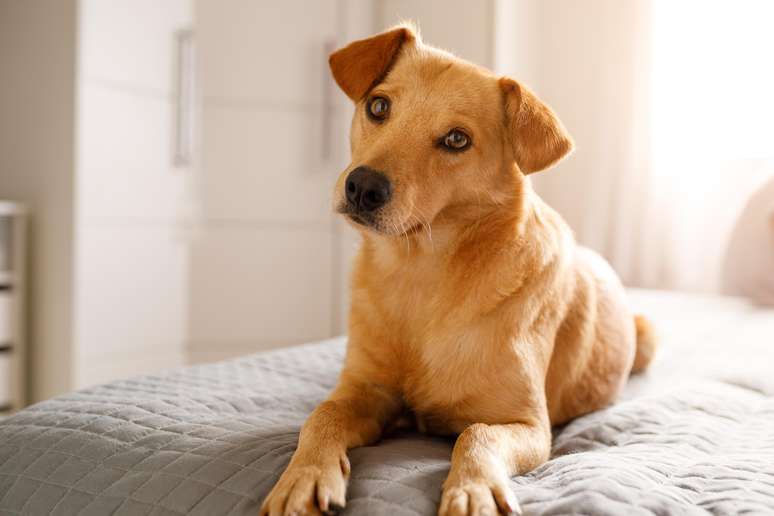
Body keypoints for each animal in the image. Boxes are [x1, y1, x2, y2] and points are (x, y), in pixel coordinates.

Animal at [264, 24, 656, 516]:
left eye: (456, 139)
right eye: (378, 106)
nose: (363, 186)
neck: (419, 272)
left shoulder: (529, 425)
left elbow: (475, 433)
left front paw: (473, 488)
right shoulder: (366, 390)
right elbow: (323, 413)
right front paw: (305, 475)